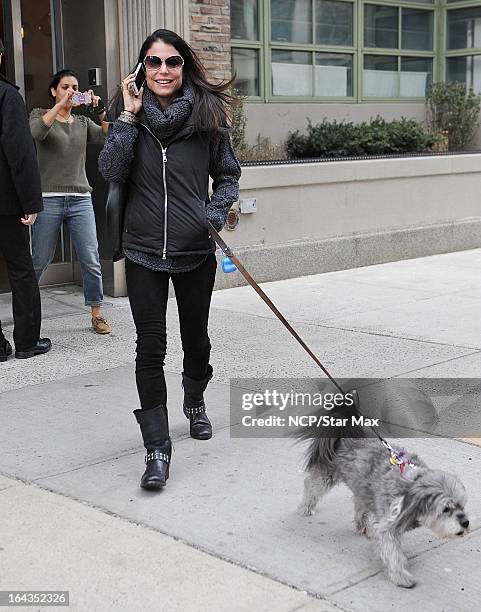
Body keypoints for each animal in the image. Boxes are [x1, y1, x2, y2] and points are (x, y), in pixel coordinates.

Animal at [296, 396, 468, 588]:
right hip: (327, 475)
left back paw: (364, 527)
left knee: (360, 506)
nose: (466, 523)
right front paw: (401, 576)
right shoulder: (389, 528)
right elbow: (392, 553)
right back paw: (305, 508)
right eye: (446, 509)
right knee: (310, 485)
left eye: (462, 505)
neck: (411, 488)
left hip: (364, 489)